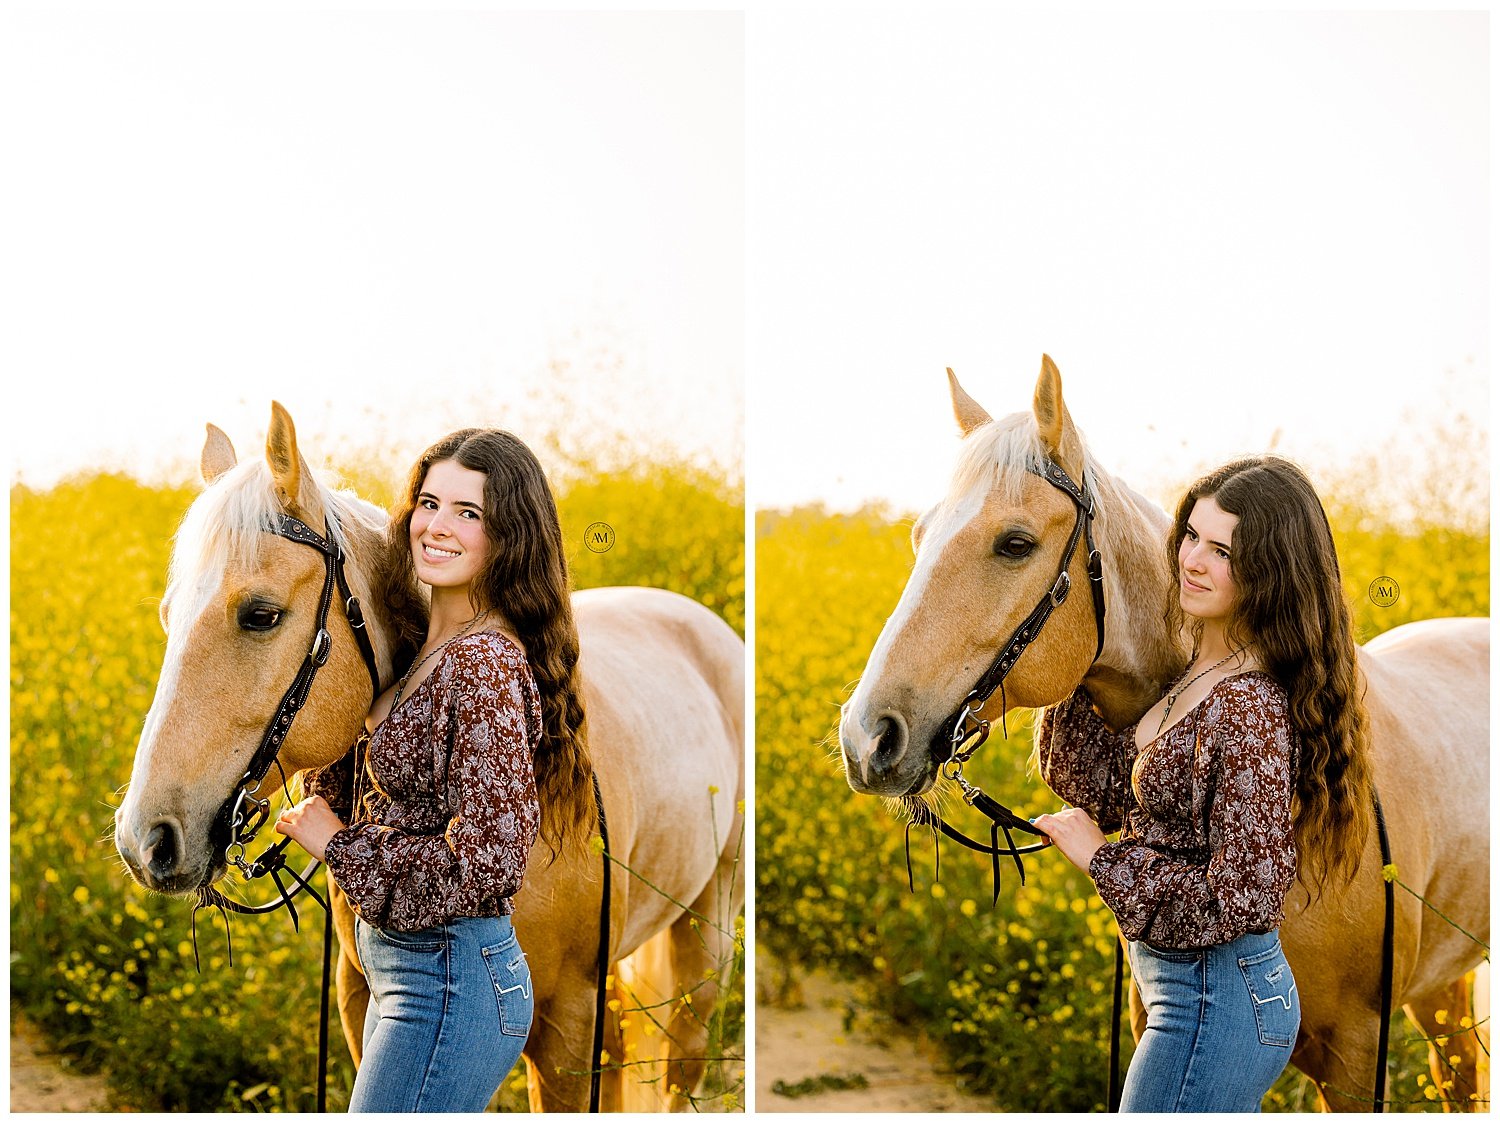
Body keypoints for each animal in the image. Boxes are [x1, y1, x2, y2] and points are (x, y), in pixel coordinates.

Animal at [111, 401, 744, 1115]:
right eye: (169, 616)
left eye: (261, 614)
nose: (145, 841)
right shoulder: (359, 1001)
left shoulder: (565, 1027)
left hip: (705, 935)